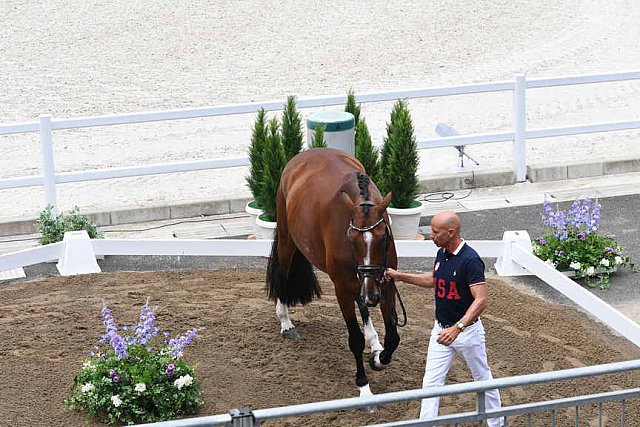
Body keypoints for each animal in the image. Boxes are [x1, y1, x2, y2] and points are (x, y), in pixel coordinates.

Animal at [266, 149, 400, 400]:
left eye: (383, 237)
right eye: (351, 238)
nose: (372, 296)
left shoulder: (385, 283)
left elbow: (393, 337)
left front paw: (378, 357)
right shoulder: (341, 288)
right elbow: (355, 338)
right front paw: (364, 387)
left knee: (363, 303)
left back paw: (374, 341)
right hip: (288, 241)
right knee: (282, 274)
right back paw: (286, 322)